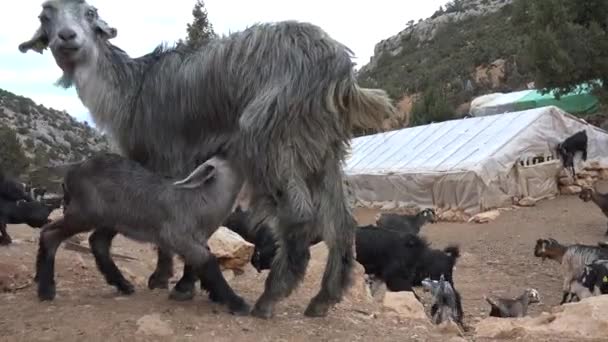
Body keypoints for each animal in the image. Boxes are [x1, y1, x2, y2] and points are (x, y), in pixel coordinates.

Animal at [31, 152, 247, 316]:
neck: (201, 202)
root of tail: (73, 168)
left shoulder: (197, 240)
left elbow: (199, 263)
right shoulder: (175, 236)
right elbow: (208, 261)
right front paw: (237, 302)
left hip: (111, 219)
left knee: (97, 242)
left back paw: (122, 284)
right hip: (83, 214)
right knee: (50, 234)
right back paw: (46, 289)